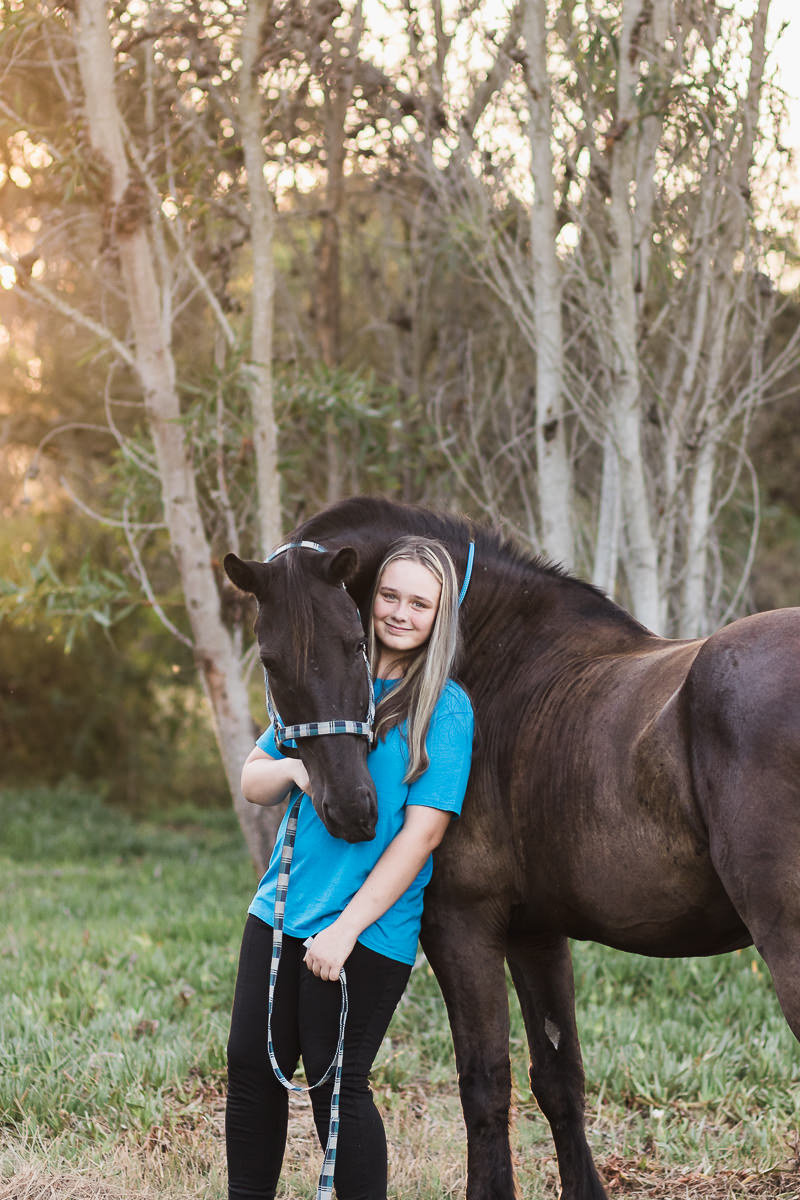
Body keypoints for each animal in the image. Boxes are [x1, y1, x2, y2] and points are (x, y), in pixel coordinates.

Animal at [223, 495, 800, 1200]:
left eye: (355, 642)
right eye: (271, 661)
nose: (353, 811)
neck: (504, 673)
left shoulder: (462, 925)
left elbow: (484, 1082)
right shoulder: (535, 934)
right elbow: (558, 1079)